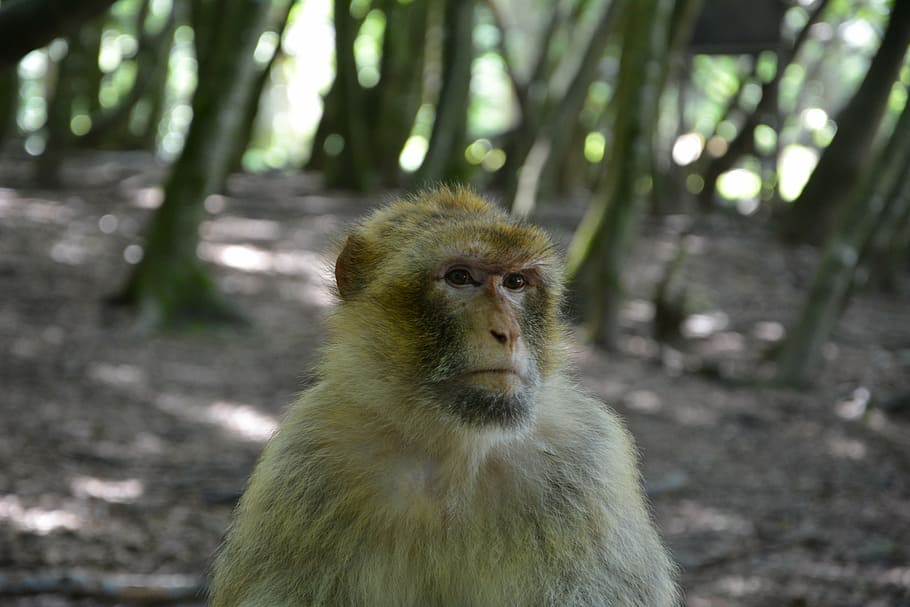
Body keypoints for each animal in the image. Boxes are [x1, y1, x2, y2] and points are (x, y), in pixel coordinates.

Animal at [209, 187, 678, 607]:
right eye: (459, 277)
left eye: (515, 282)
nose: (507, 333)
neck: (453, 445)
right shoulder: (304, 462)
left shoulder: (588, 464)